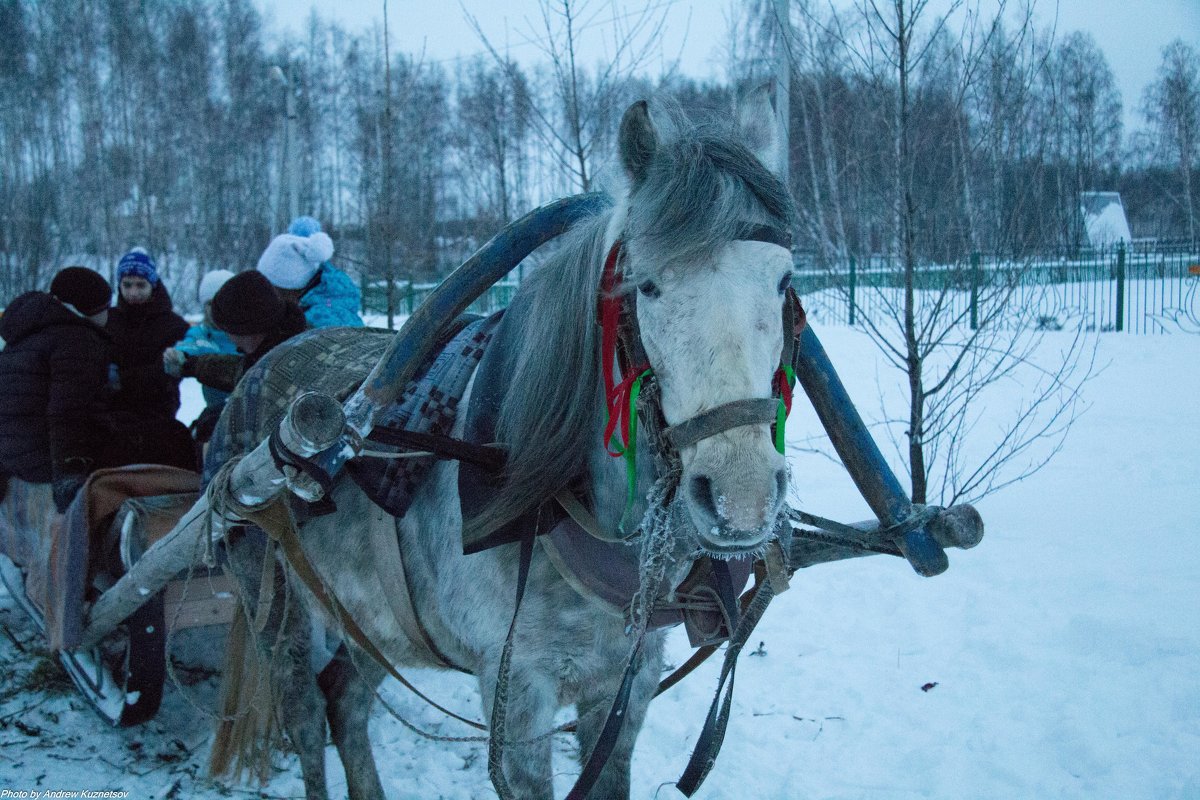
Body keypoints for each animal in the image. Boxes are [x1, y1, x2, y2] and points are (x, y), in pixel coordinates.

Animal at [213, 89, 796, 800]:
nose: (742, 497)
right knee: (303, 712)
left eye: (783, 281)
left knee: (345, 698)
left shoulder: (625, 686)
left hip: (368, 617)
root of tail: (259, 371)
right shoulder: (516, 693)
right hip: (276, 601)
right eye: (648, 286)